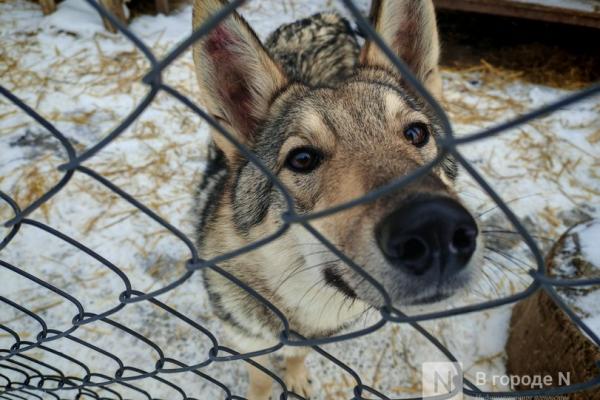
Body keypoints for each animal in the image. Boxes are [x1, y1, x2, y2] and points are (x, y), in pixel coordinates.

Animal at [192, 1, 482, 398]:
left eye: (416, 133)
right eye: (302, 159)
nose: (435, 227)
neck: (300, 309)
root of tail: (325, 18)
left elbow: (297, 357)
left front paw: (296, 378)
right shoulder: (246, 340)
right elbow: (261, 378)